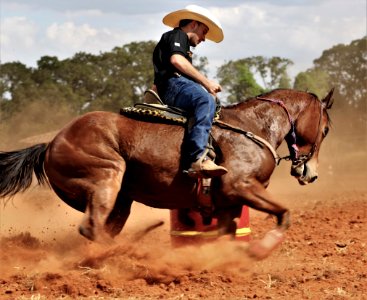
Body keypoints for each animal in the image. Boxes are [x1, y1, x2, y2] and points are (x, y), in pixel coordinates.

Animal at [0, 88, 334, 258]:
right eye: (326, 128)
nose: (311, 173)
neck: (252, 126)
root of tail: (50, 144)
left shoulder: (229, 201)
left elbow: (225, 234)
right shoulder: (240, 186)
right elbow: (284, 213)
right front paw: (259, 251)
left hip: (121, 201)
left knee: (99, 230)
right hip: (107, 178)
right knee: (92, 228)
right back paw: (132, 253)